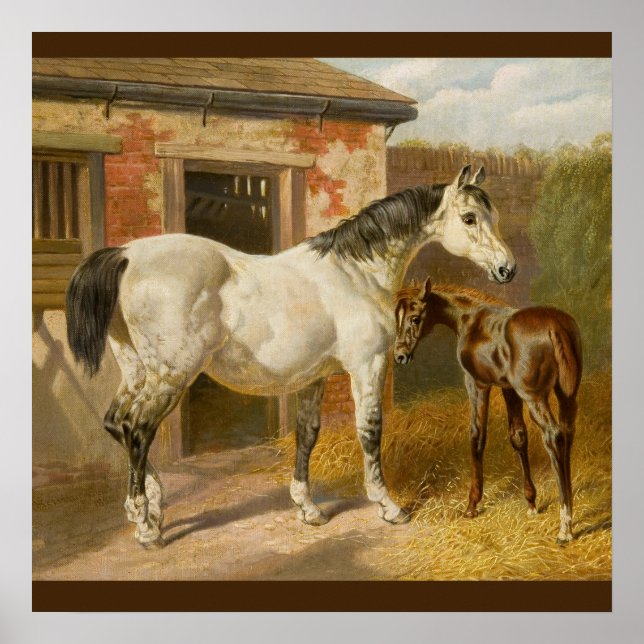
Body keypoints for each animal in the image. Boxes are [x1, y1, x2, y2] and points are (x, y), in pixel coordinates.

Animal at [65, 165, 516, 548]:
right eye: (470, 218)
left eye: (492, 215)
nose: (506, 269)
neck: (356, 273)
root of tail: (126, 254)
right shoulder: (367, 366)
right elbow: (370, 430)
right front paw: (388, 506)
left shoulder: (314, 377)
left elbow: (307, 434)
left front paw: (308, 508)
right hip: (171, 375)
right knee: (139, 430)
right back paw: (146, 527)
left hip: (136, 371)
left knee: (117, 423)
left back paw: (151, 508)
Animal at [393, 278, 582, 543]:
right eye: (396, 319)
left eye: (415, 318)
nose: (400, 355)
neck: (471, 319)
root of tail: (556, 327)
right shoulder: (508, 389)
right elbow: (518, 437)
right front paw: (531, 502)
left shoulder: (478, 384)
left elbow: (477, 436)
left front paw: (472, 505)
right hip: (567, 396)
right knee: (567, 434)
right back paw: (569, 516)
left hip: (535, 397)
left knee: (553, 436)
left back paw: (565, 528)